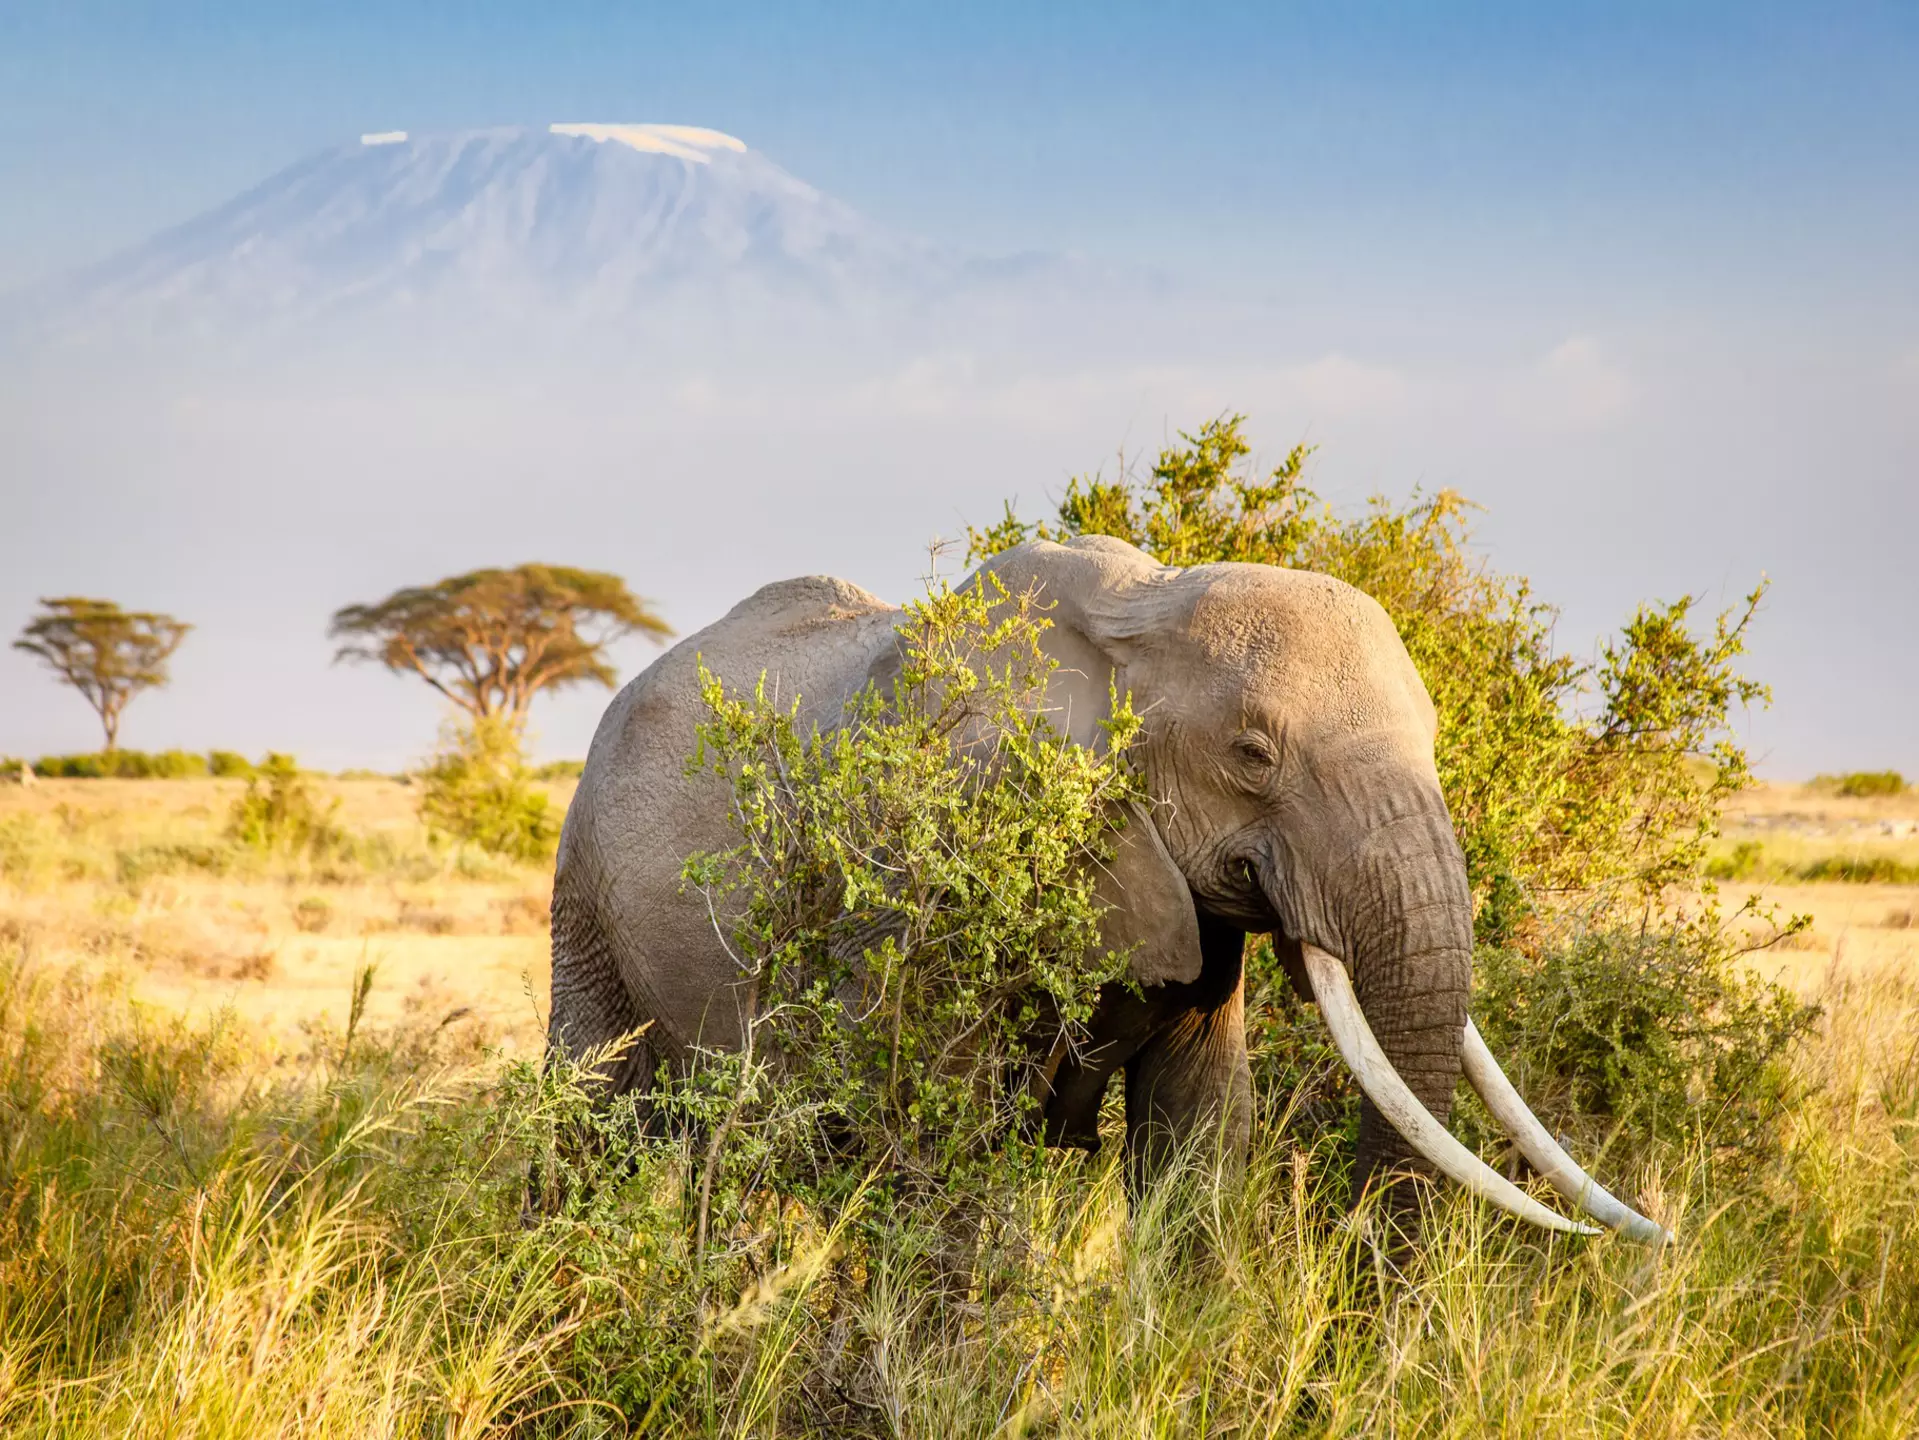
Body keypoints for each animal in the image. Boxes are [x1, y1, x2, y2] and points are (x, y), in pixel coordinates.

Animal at [547, 534, 1667, 1244]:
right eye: (1252, 754)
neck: (1141, 611)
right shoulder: (926, 859)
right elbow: (938, 1132)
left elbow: (1199, 1134)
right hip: (583, 888)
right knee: (587, 1115)